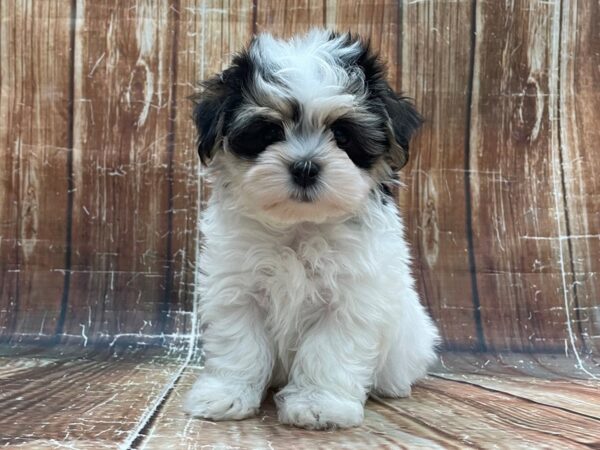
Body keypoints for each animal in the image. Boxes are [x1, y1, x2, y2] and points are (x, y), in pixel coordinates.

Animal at [180, 28, 438, 428]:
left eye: (343, 136)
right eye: (268, 132)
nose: (304, 167)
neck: (298, 225)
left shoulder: (350, 299)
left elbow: (327, 351)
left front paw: (320, 405)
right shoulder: (237, 291)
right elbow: (240, 346)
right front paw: (226, 395)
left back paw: (392, 386)